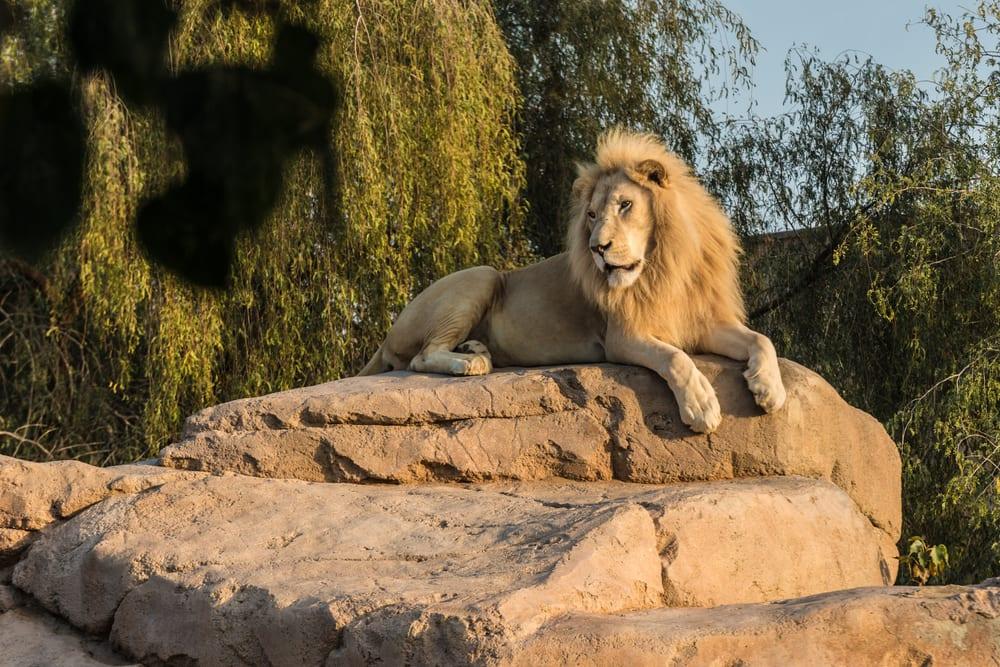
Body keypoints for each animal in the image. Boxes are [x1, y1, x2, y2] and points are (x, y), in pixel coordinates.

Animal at [360, 130, 788, 434]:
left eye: (626, 205)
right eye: (592, 215)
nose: (598, 248)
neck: (662, 265)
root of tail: (387, 336)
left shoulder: (703, 322)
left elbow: (761, 339)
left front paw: (770, 389)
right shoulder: (621, 337)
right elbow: (675, 358)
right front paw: (701, 406)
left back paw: (475, 347)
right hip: (481, 275)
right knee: (421, 356)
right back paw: (472, 362)